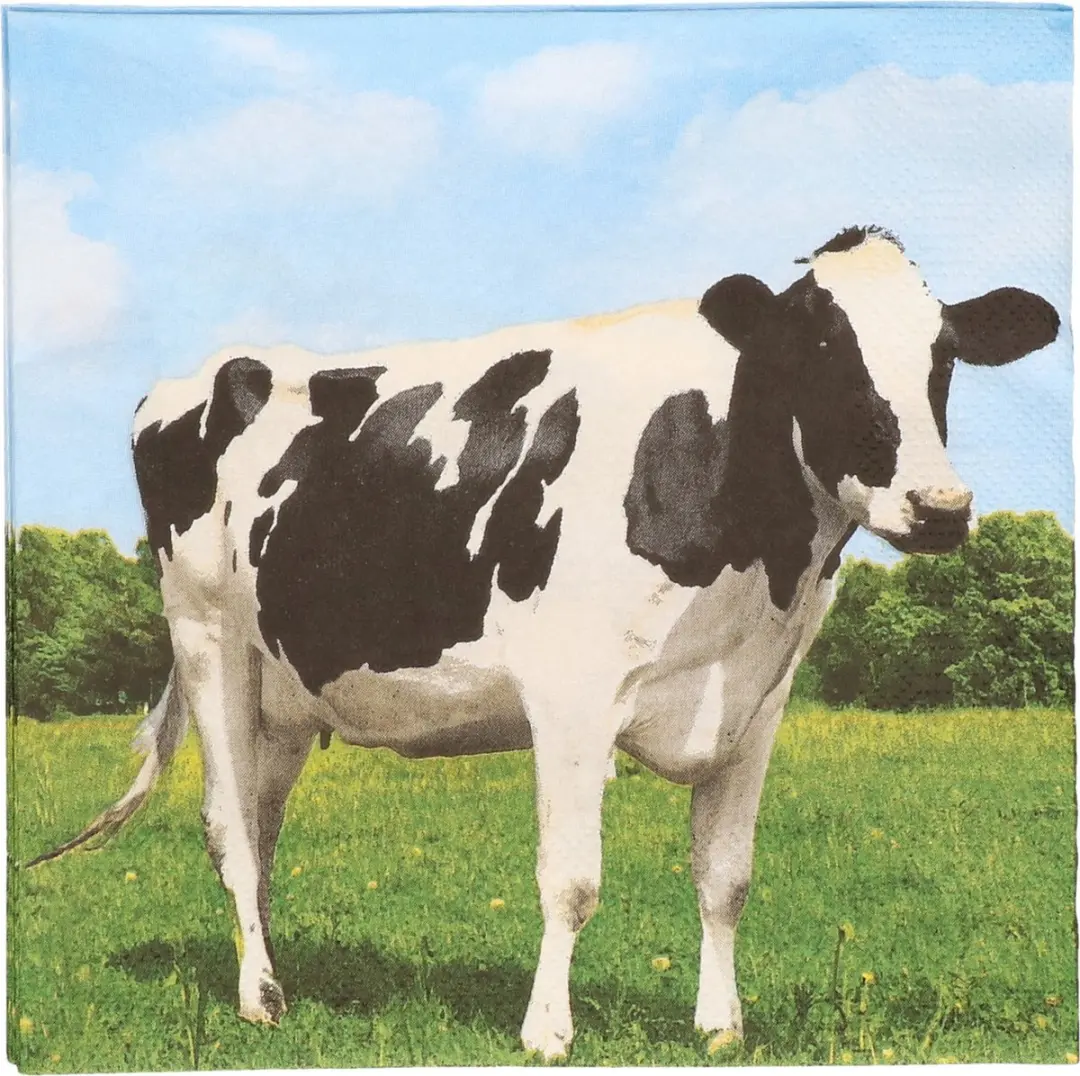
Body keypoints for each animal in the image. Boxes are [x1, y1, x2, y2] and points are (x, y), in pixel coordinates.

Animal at [33, 226, 1059, 1059]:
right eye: (821, 349)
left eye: (944, 356)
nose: (940, 507)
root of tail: (199, 374)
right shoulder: (572, 697)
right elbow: (571, 879)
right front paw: (547, 1032)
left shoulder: (757, 703)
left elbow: (726, 878)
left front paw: (721, 1027)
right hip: (208, 636)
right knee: (228, 828)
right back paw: (256, 999)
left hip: (284, 690)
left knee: (261, 819)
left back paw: (280, 974)